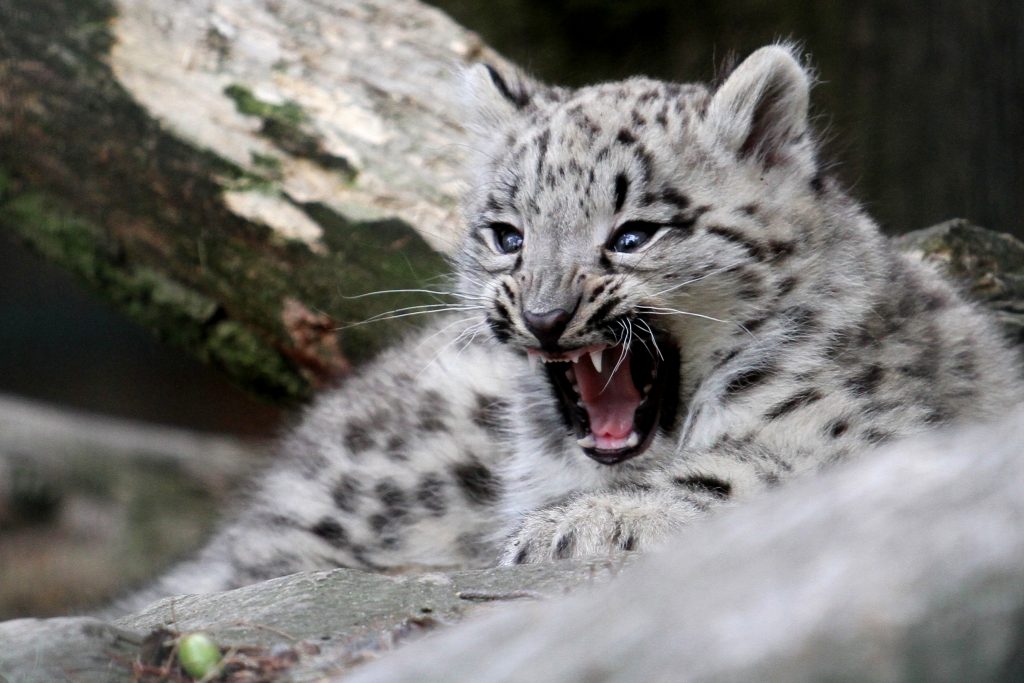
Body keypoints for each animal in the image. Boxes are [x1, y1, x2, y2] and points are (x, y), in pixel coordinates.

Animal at [122, 45, 1021, 609]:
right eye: (507, 234)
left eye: (633, 234)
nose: (546, 314)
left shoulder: (887, 434)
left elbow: (752, 465)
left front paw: (580, 524)